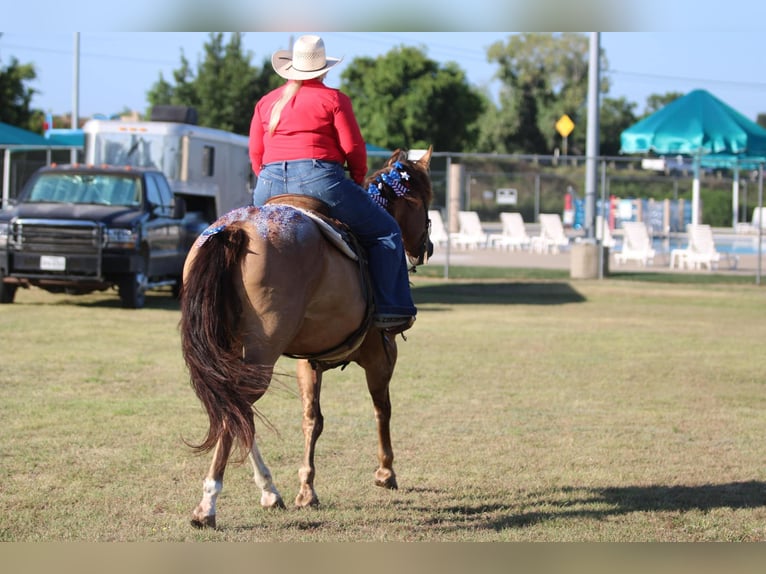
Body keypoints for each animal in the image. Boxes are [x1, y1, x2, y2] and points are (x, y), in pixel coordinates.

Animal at [180, 147, 434, 528]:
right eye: (425, 201)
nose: (425, 247)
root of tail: (237, 229)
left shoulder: (309, 363)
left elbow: (312, 420)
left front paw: (306, 490)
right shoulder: (381, 356)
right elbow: (381, 409)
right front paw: (385, 472)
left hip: (231, 348)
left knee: (236, 410)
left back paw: (269, 491)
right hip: (262, 350)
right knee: (236, 411)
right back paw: (208, 503)